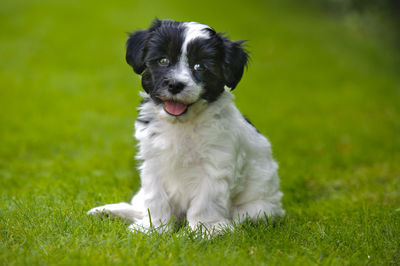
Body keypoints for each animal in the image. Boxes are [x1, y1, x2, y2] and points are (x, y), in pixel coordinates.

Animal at [89, 18, 286, 233]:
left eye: (200, 67)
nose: (175, 85)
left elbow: (206, 201)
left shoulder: (215, 165)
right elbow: (155, 197)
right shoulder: (154, 161)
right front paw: (153, 228)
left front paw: (205, 230)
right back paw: (110, 212)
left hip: (258, 209)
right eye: (163, 61)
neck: (182, 123)